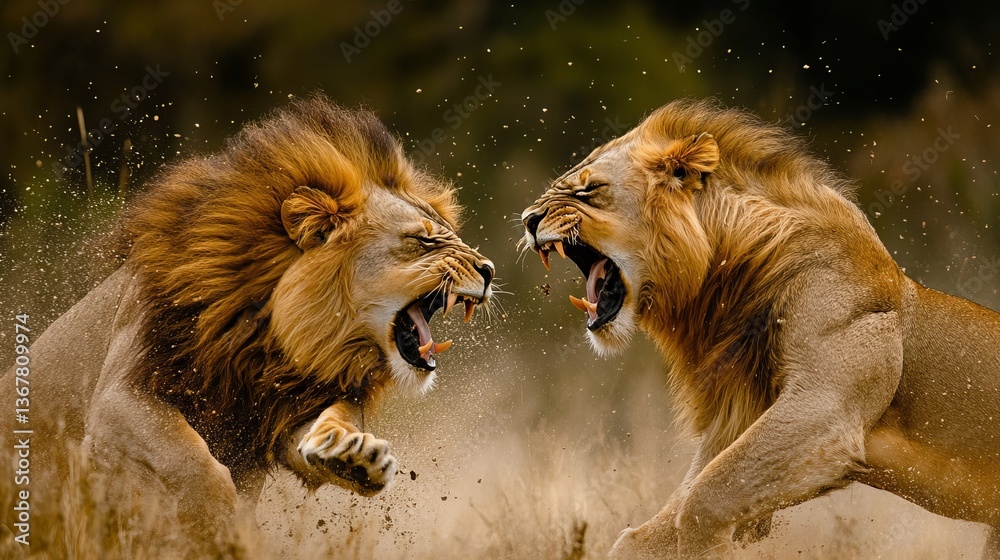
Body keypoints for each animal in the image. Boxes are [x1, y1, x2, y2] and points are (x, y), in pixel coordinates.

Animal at [1, 95, 494, 548]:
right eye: (425, 240)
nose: (489, 270)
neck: (268, 335)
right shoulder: (118, 396)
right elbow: (194, 466)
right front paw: (228, 532)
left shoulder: (275, 411)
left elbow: (330, 423)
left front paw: (351, 456)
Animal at [521, 99, 1000, 559]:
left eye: (588, 189)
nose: (527, 219)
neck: (721, 282)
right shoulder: (734, 419)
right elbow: (639, 536)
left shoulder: (825, 410)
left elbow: (701, 503)